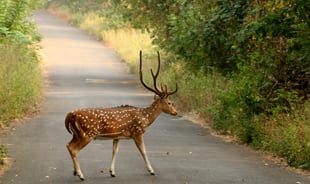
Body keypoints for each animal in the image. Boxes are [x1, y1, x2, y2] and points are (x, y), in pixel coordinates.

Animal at [65, 50, 177, 180]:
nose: (176, 112)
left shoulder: (117, 135)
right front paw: (151, 170)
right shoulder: (137, 132)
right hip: (87, 134)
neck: (145, 118)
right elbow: (143, 151)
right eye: (169, 102)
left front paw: (112, 172)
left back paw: (75, 172)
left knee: (68, 145)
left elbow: (115, 151)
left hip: (76, 134)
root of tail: (70, 115)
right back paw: (81, 175)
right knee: (73, 149)